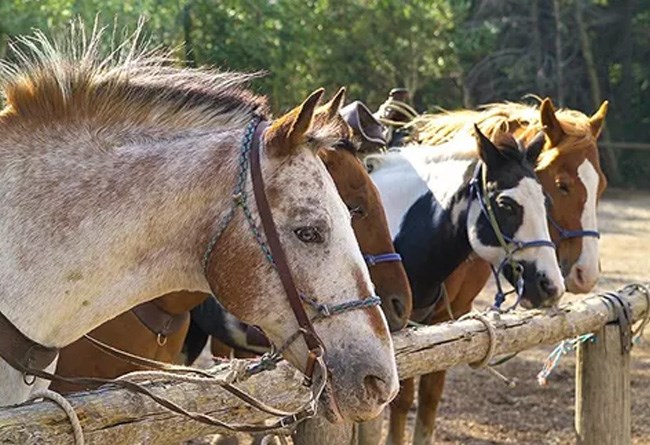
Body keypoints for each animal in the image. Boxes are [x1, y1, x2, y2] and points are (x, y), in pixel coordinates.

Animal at [384, 98, 608, 445]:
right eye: (562, 186)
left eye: (602, 187)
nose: (585, 274)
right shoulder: (406, 326)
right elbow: (401, 399)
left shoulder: (447, 320)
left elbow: (430, 398)